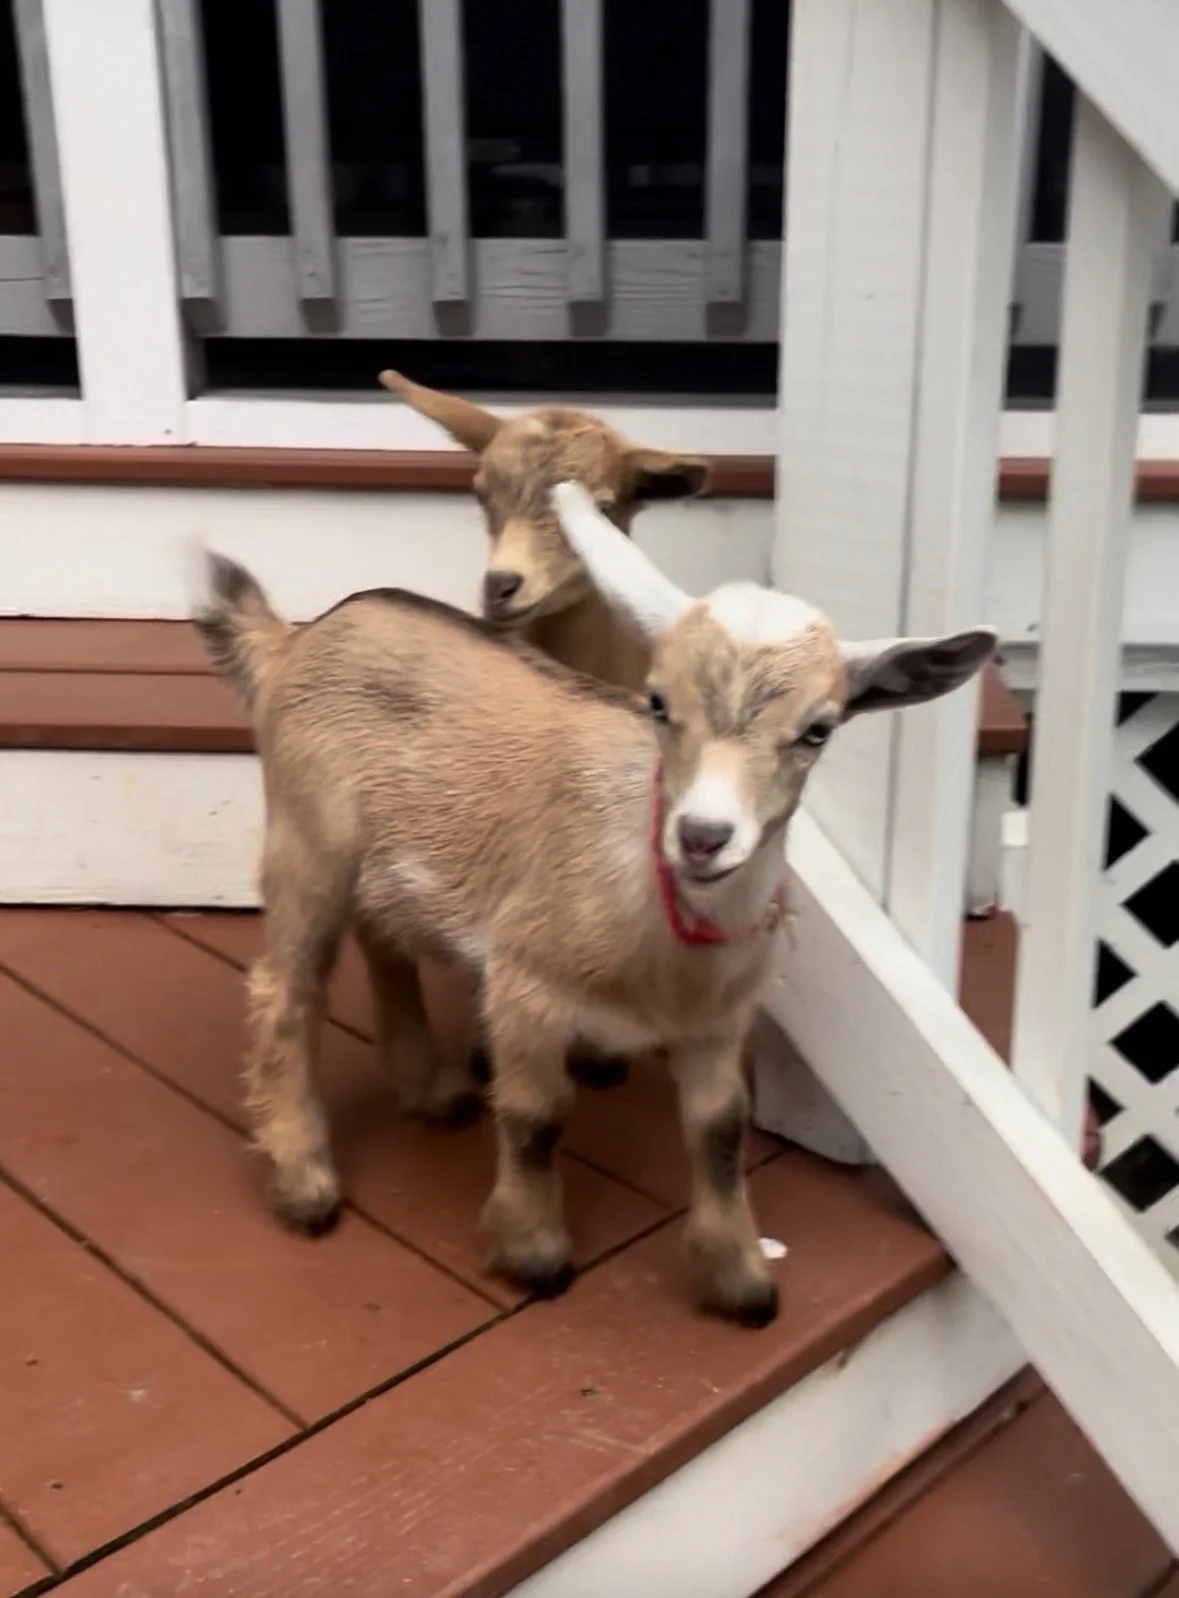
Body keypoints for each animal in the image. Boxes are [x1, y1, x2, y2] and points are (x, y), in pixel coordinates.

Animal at [194, 484, 996, 1326]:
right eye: (657, 702)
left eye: (818, 730)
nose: (703, 836)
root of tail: (297, 638)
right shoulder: (525, 980)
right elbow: (537, 1114)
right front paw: (533, 1253)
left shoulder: (719, 1022)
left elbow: (720, 1130)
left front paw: (742, 1283)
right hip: (306, 834)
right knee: (286, 990)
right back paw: (304, 1183)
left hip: (386, 857)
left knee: (384, 944)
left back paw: (431, 1092)